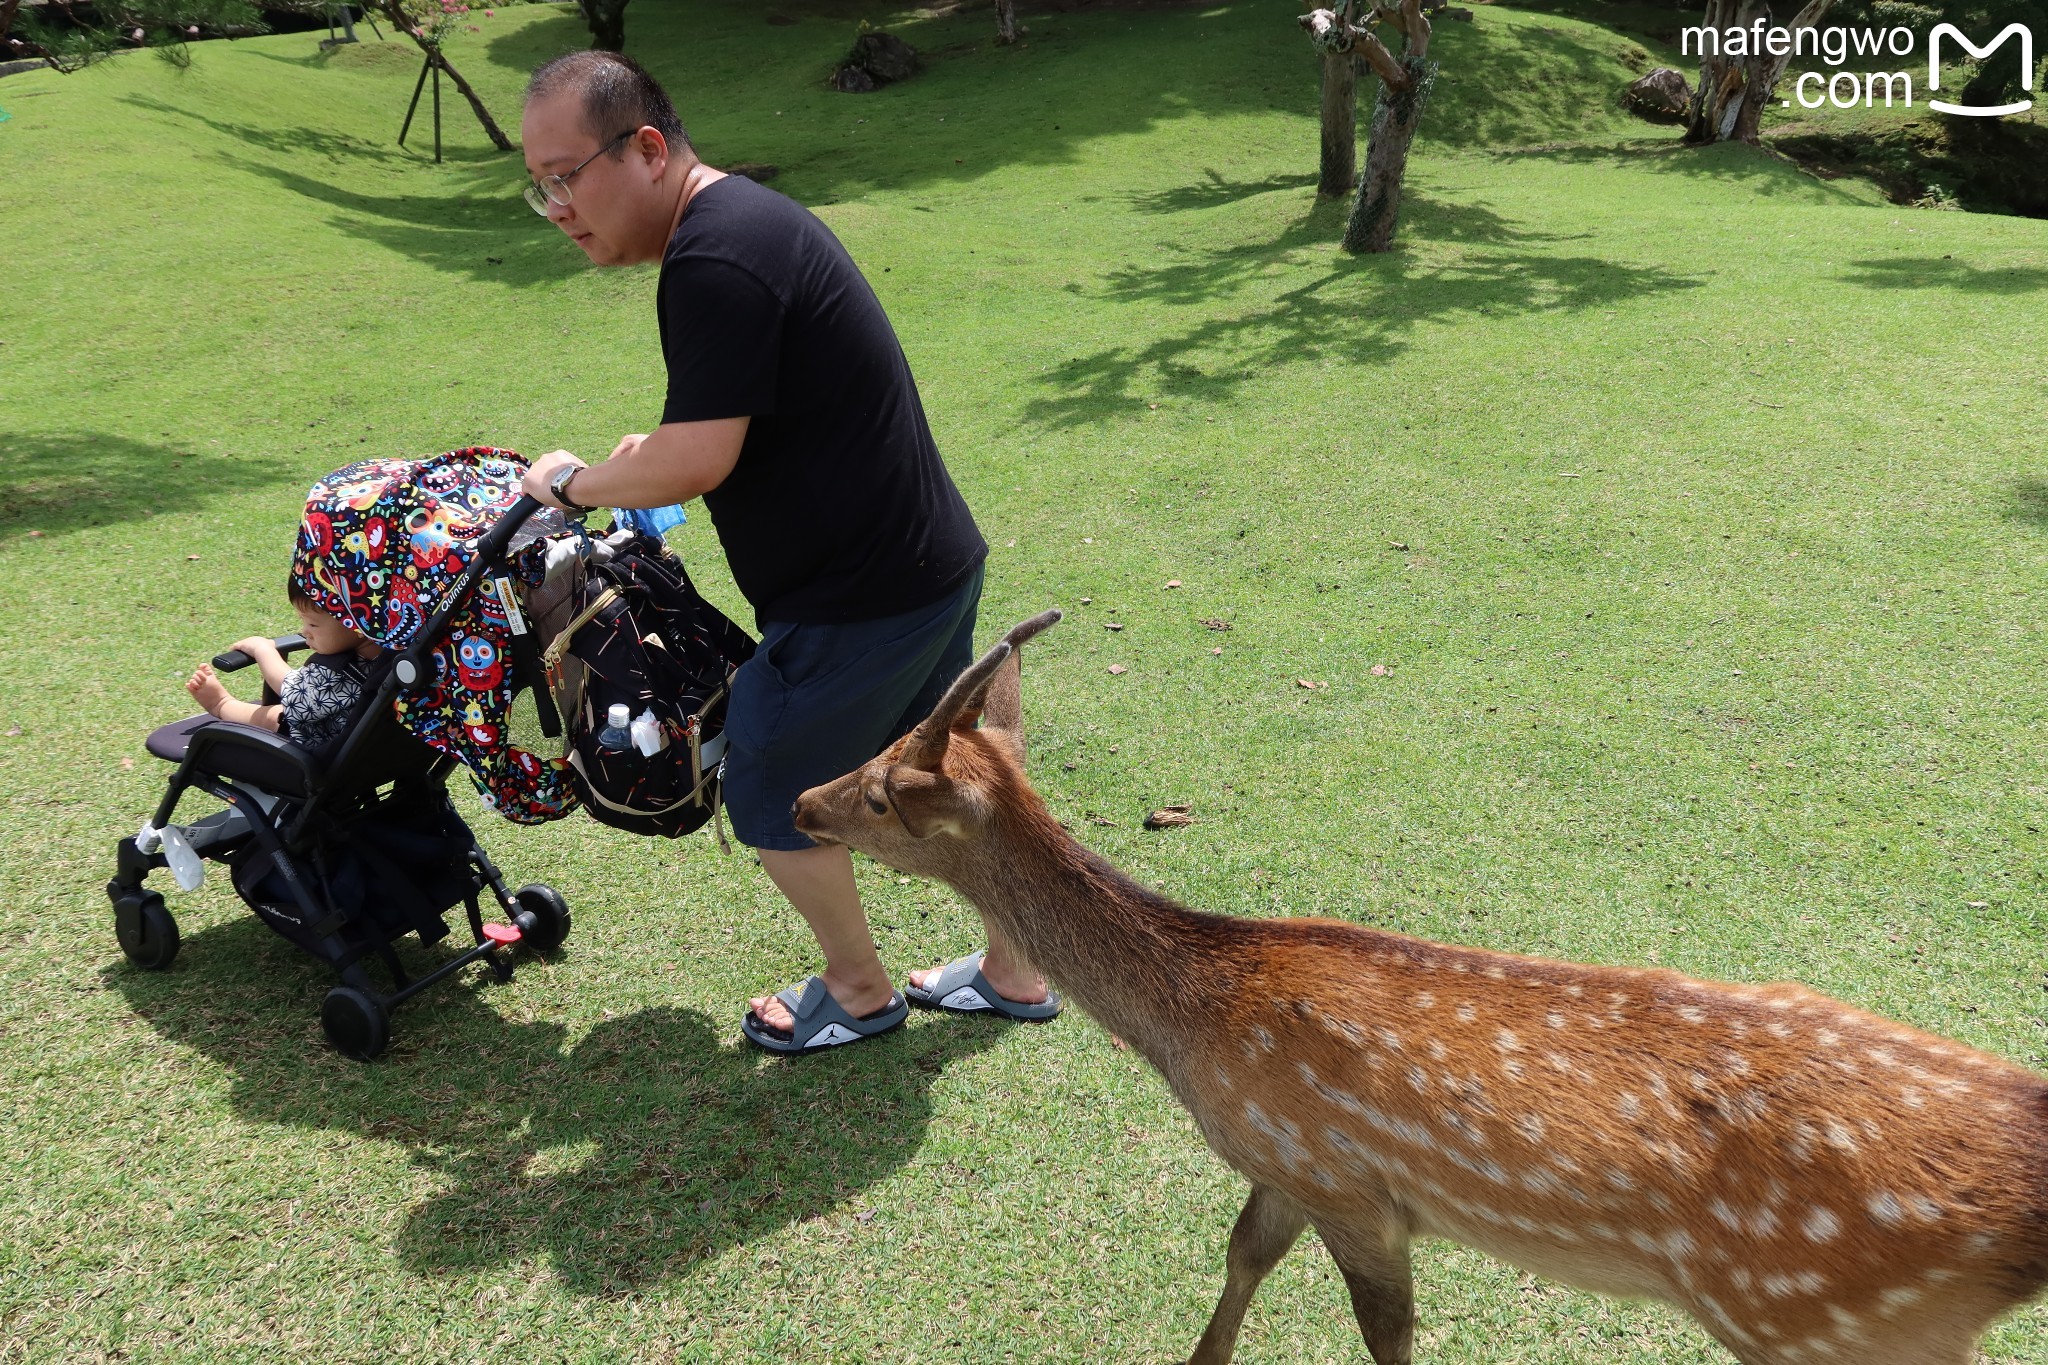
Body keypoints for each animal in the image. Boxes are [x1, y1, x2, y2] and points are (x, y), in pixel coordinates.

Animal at [794, 618, 2048, 1365]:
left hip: (1815, 1321)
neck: (1193, 1028)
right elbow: (1241, 1254)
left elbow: (1384, 1336)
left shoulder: (1356, 1188)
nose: (802, 799)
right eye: (873, 758)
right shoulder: (1286, 1162)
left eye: (883, 791)